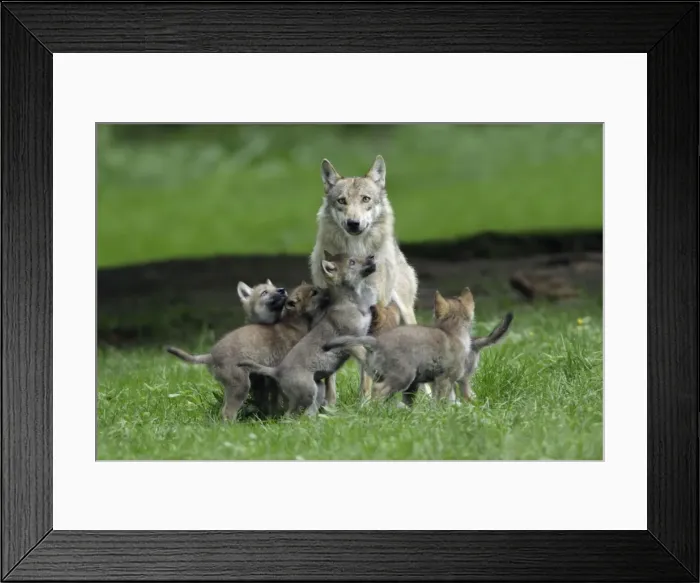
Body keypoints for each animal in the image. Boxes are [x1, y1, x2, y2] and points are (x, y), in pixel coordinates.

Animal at [166, 283, 329, 421]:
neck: (292, 323)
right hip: (240, 385)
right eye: (264, 292)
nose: (282, 290)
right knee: (227, 412)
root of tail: (211, 356)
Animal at [239, 253, 376, 417]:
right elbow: (364, 358)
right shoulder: (350, 341)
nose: (372, 256)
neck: (353, 303)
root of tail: (277, 371)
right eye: (352, 262)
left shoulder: (363, 335)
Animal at [308, 155, 423, 404]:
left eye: (365, 199)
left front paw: (366, 403)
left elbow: (367, 368)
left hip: (405, 314)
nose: (353, 223)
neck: (355, 253)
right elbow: (329, 371)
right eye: (341, 201)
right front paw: (330, 404)